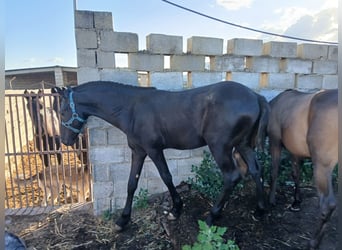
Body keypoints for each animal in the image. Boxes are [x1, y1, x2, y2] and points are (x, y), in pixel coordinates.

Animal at [56, 80, 270, 230]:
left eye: (62, 111)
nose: (65, 141)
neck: (131, 108)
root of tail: (255, 96)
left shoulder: (153, 150)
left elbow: (166, 177)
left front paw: (176, 210)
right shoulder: (138, 151)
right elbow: (131, 184)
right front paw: (123, 220)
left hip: (220, 147)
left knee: (231, 177)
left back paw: (211, 216)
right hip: (243, 145)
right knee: (256, 170)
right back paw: (260, 210)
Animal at [268, 89, 336, 249]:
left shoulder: (275, 141)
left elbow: (274, 171)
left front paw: (271, 200)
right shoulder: (295, 150)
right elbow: (295, 174)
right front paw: (296, 201)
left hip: (322, 166)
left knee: (328, 205)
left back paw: (313, 242)